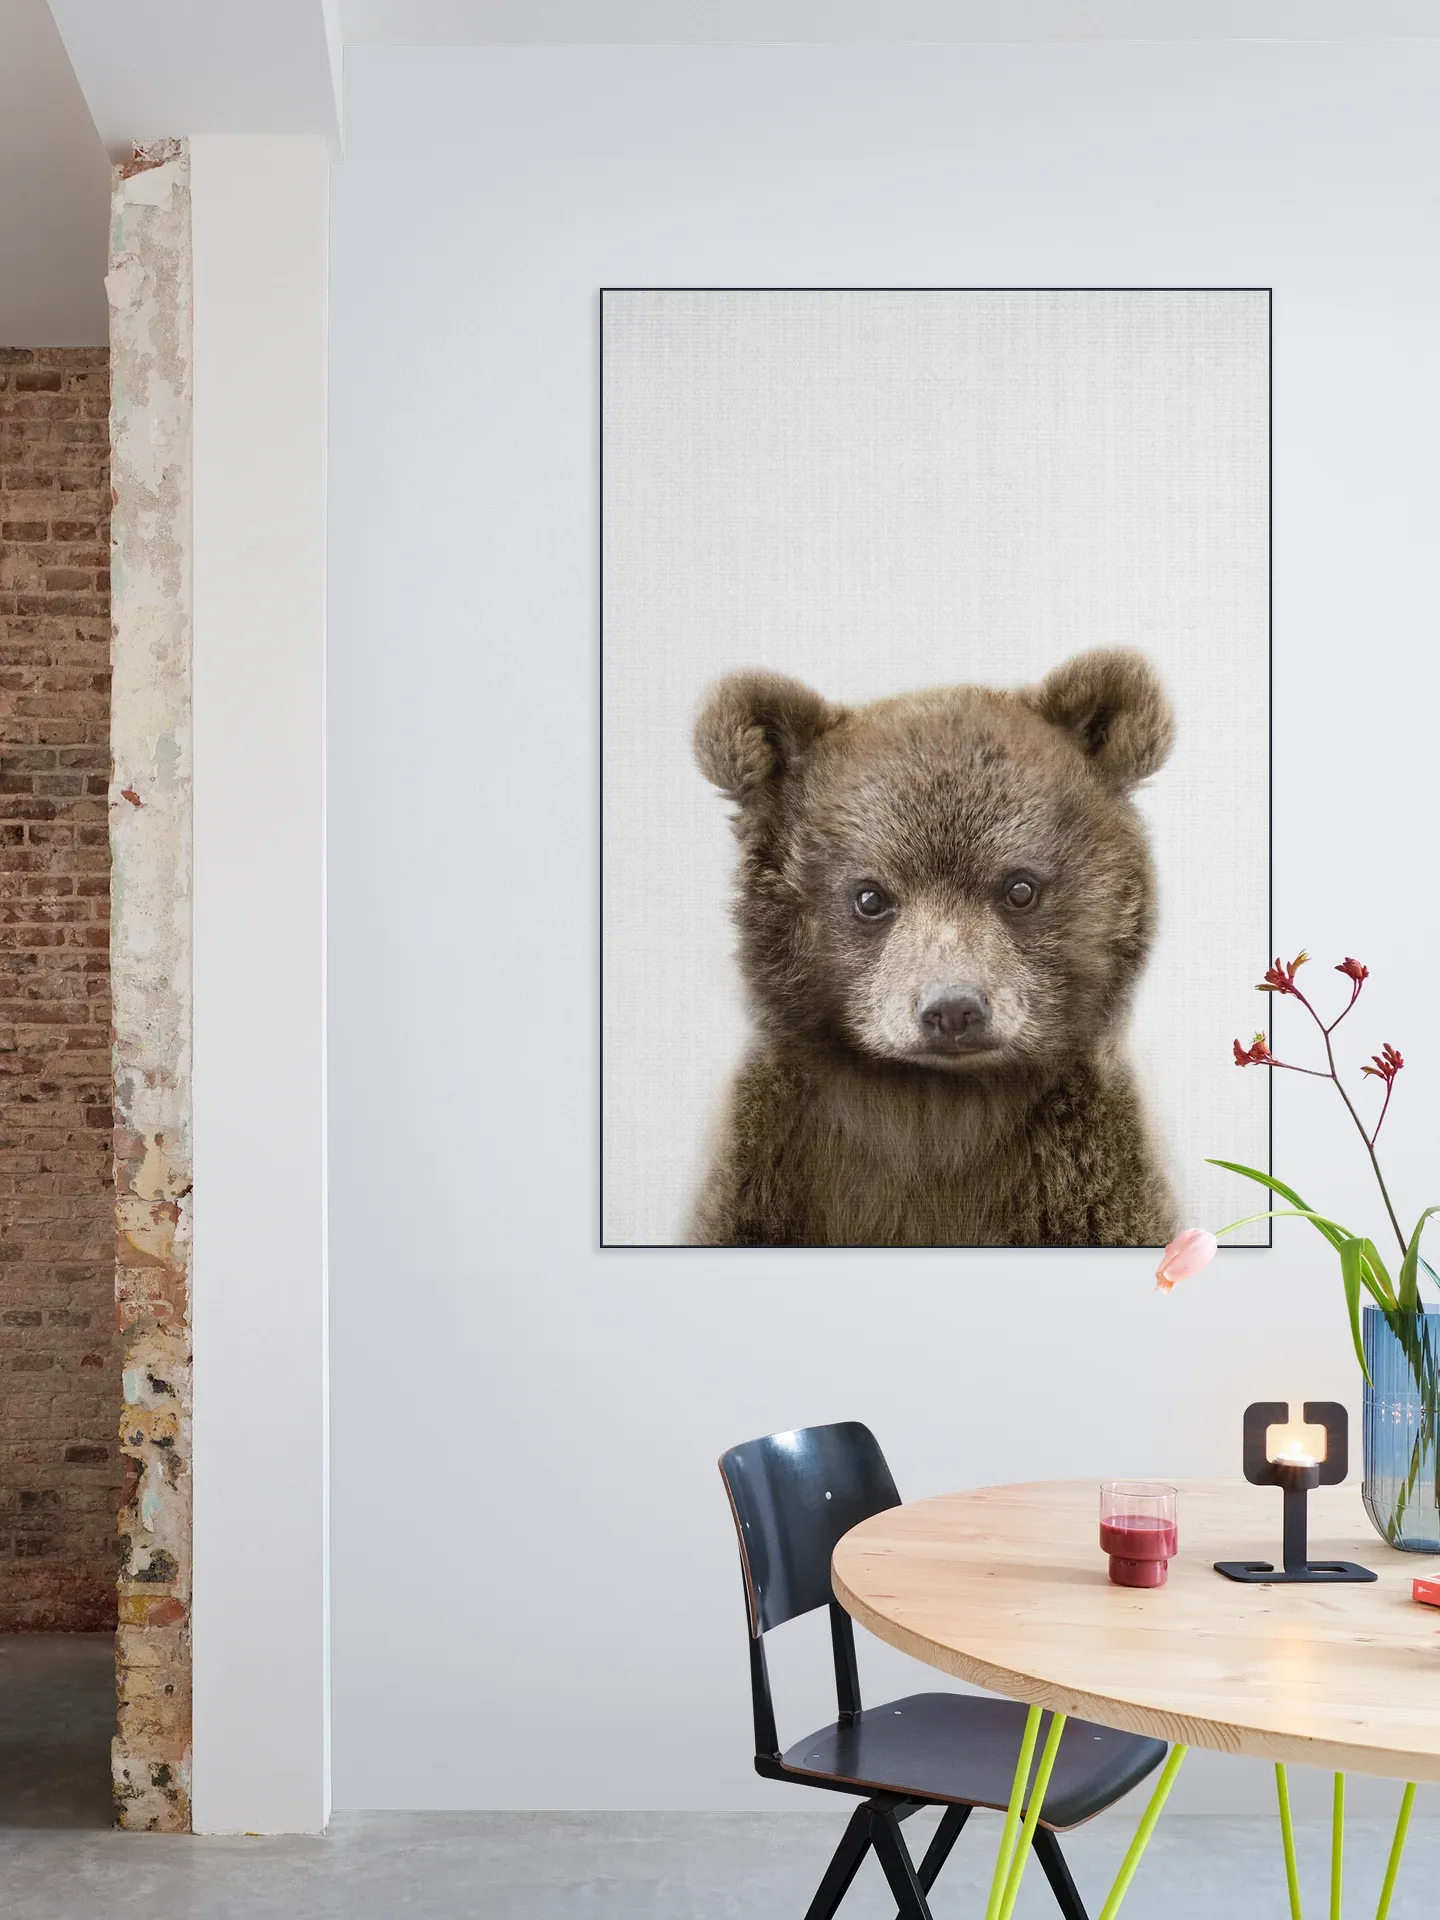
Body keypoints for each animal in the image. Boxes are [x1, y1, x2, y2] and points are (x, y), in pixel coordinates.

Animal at [688, 648, 1179, 1248]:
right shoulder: (770, 1172)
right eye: (870, 896)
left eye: (1020, 887)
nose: (953, 1009)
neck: (932, 1110)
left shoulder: (1084, 1181)